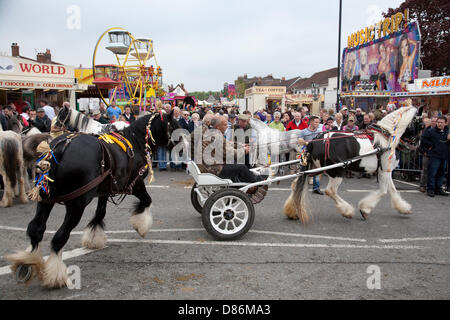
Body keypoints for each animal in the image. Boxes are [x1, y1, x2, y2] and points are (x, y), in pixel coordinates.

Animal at [6, 111, 179, 288]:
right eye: (174, 125)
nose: (179, 144)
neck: (135, 141)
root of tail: (61, 148)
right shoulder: (136, 184)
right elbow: (146, 200)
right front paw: (141, 225)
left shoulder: (104, 190)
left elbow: (100, 213)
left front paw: (94, 237)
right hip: (77, 204)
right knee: (59, 237)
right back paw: (55, 274)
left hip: (46, 198)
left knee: (36, 229)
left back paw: (27, 262)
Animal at [284, 104, 418, 222]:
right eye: (418, 123)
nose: (417, 143)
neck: (386, 137)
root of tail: (314, 141)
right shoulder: (384, 170)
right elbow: (384, 191)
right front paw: (365, 209)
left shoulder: (386, 170)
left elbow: (392, 189)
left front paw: (403, 208)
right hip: (337, 171)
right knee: (330, 191)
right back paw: (347, 211)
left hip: (314, 168)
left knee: (296, 184)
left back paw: (292, 211)